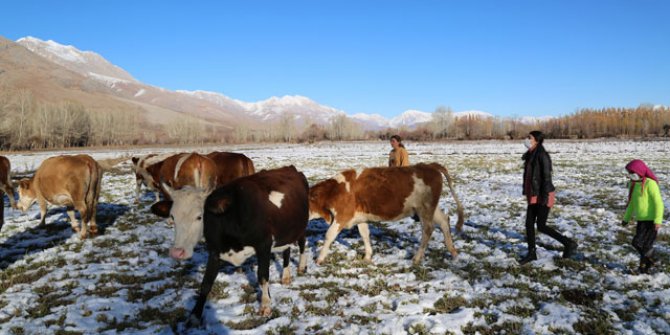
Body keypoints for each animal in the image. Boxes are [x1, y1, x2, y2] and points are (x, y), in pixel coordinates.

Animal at [150, 165, 310, 322]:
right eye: (172, 216)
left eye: (199, 217)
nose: (177, 252)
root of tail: (290, 168)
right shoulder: (215, 251)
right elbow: (206, 283)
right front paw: (195, 315)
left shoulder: (263, 245)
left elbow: (263, 276)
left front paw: (265, 305)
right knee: (286, 249)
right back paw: (286, 276)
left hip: (300, 227)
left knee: (302, 243)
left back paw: (301, 267)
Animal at [312, 163, 464, 266]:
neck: (335, 190)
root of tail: (430, 165)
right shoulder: (360, 217)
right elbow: (364, 234)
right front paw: (367, 257)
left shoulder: (342, 216)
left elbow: (329, 235)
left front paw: (319, 259)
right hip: (431, 208)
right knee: (444, 221)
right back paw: (453, 252)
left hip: (425, 209)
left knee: (428, 229)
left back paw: (417, 258)